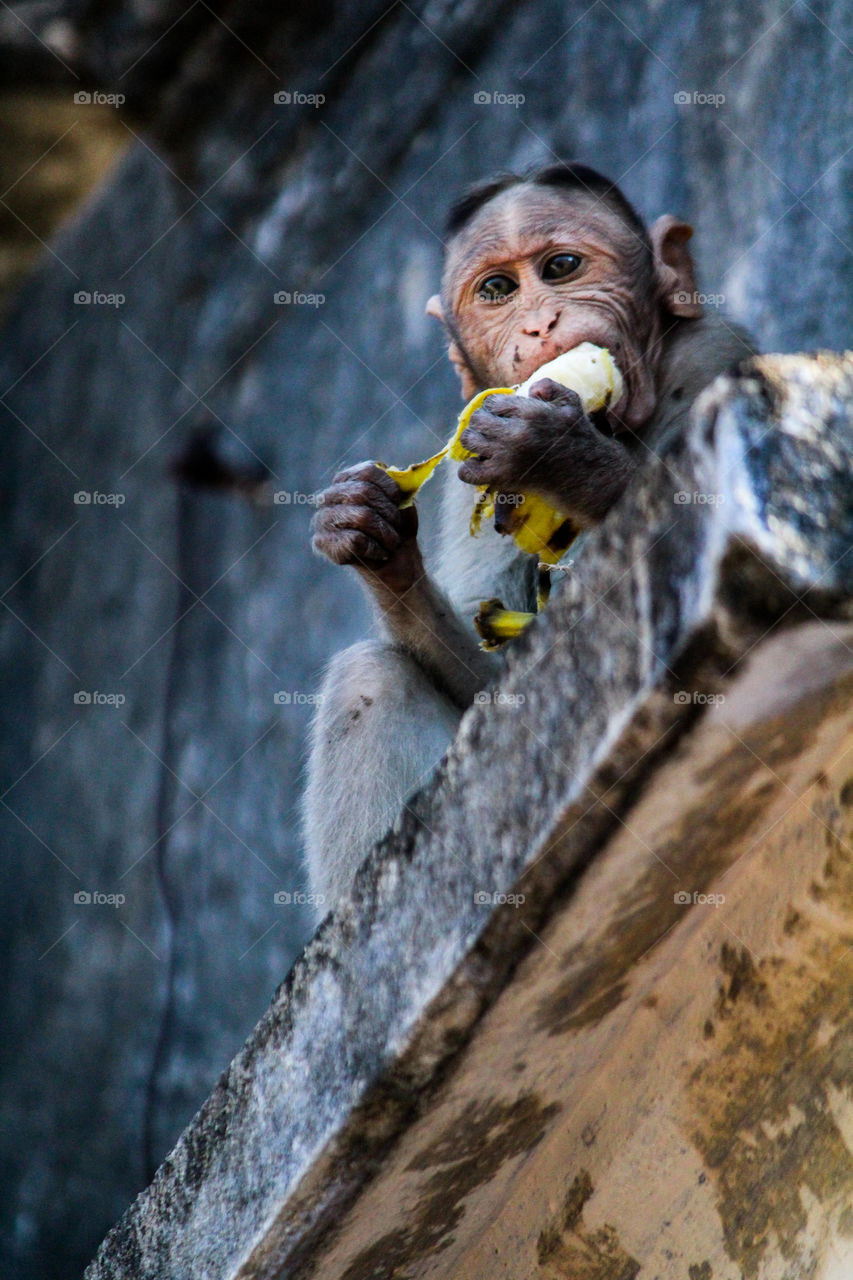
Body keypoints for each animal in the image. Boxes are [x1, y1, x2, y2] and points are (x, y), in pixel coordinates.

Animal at [302, 165, 753, 916]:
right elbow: (493, 683)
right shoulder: (467, 456)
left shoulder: (710, 349)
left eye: (562, 267)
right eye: (497, 290)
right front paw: (369, 530)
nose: (540, 322)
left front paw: (553, 449)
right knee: (370, 678)